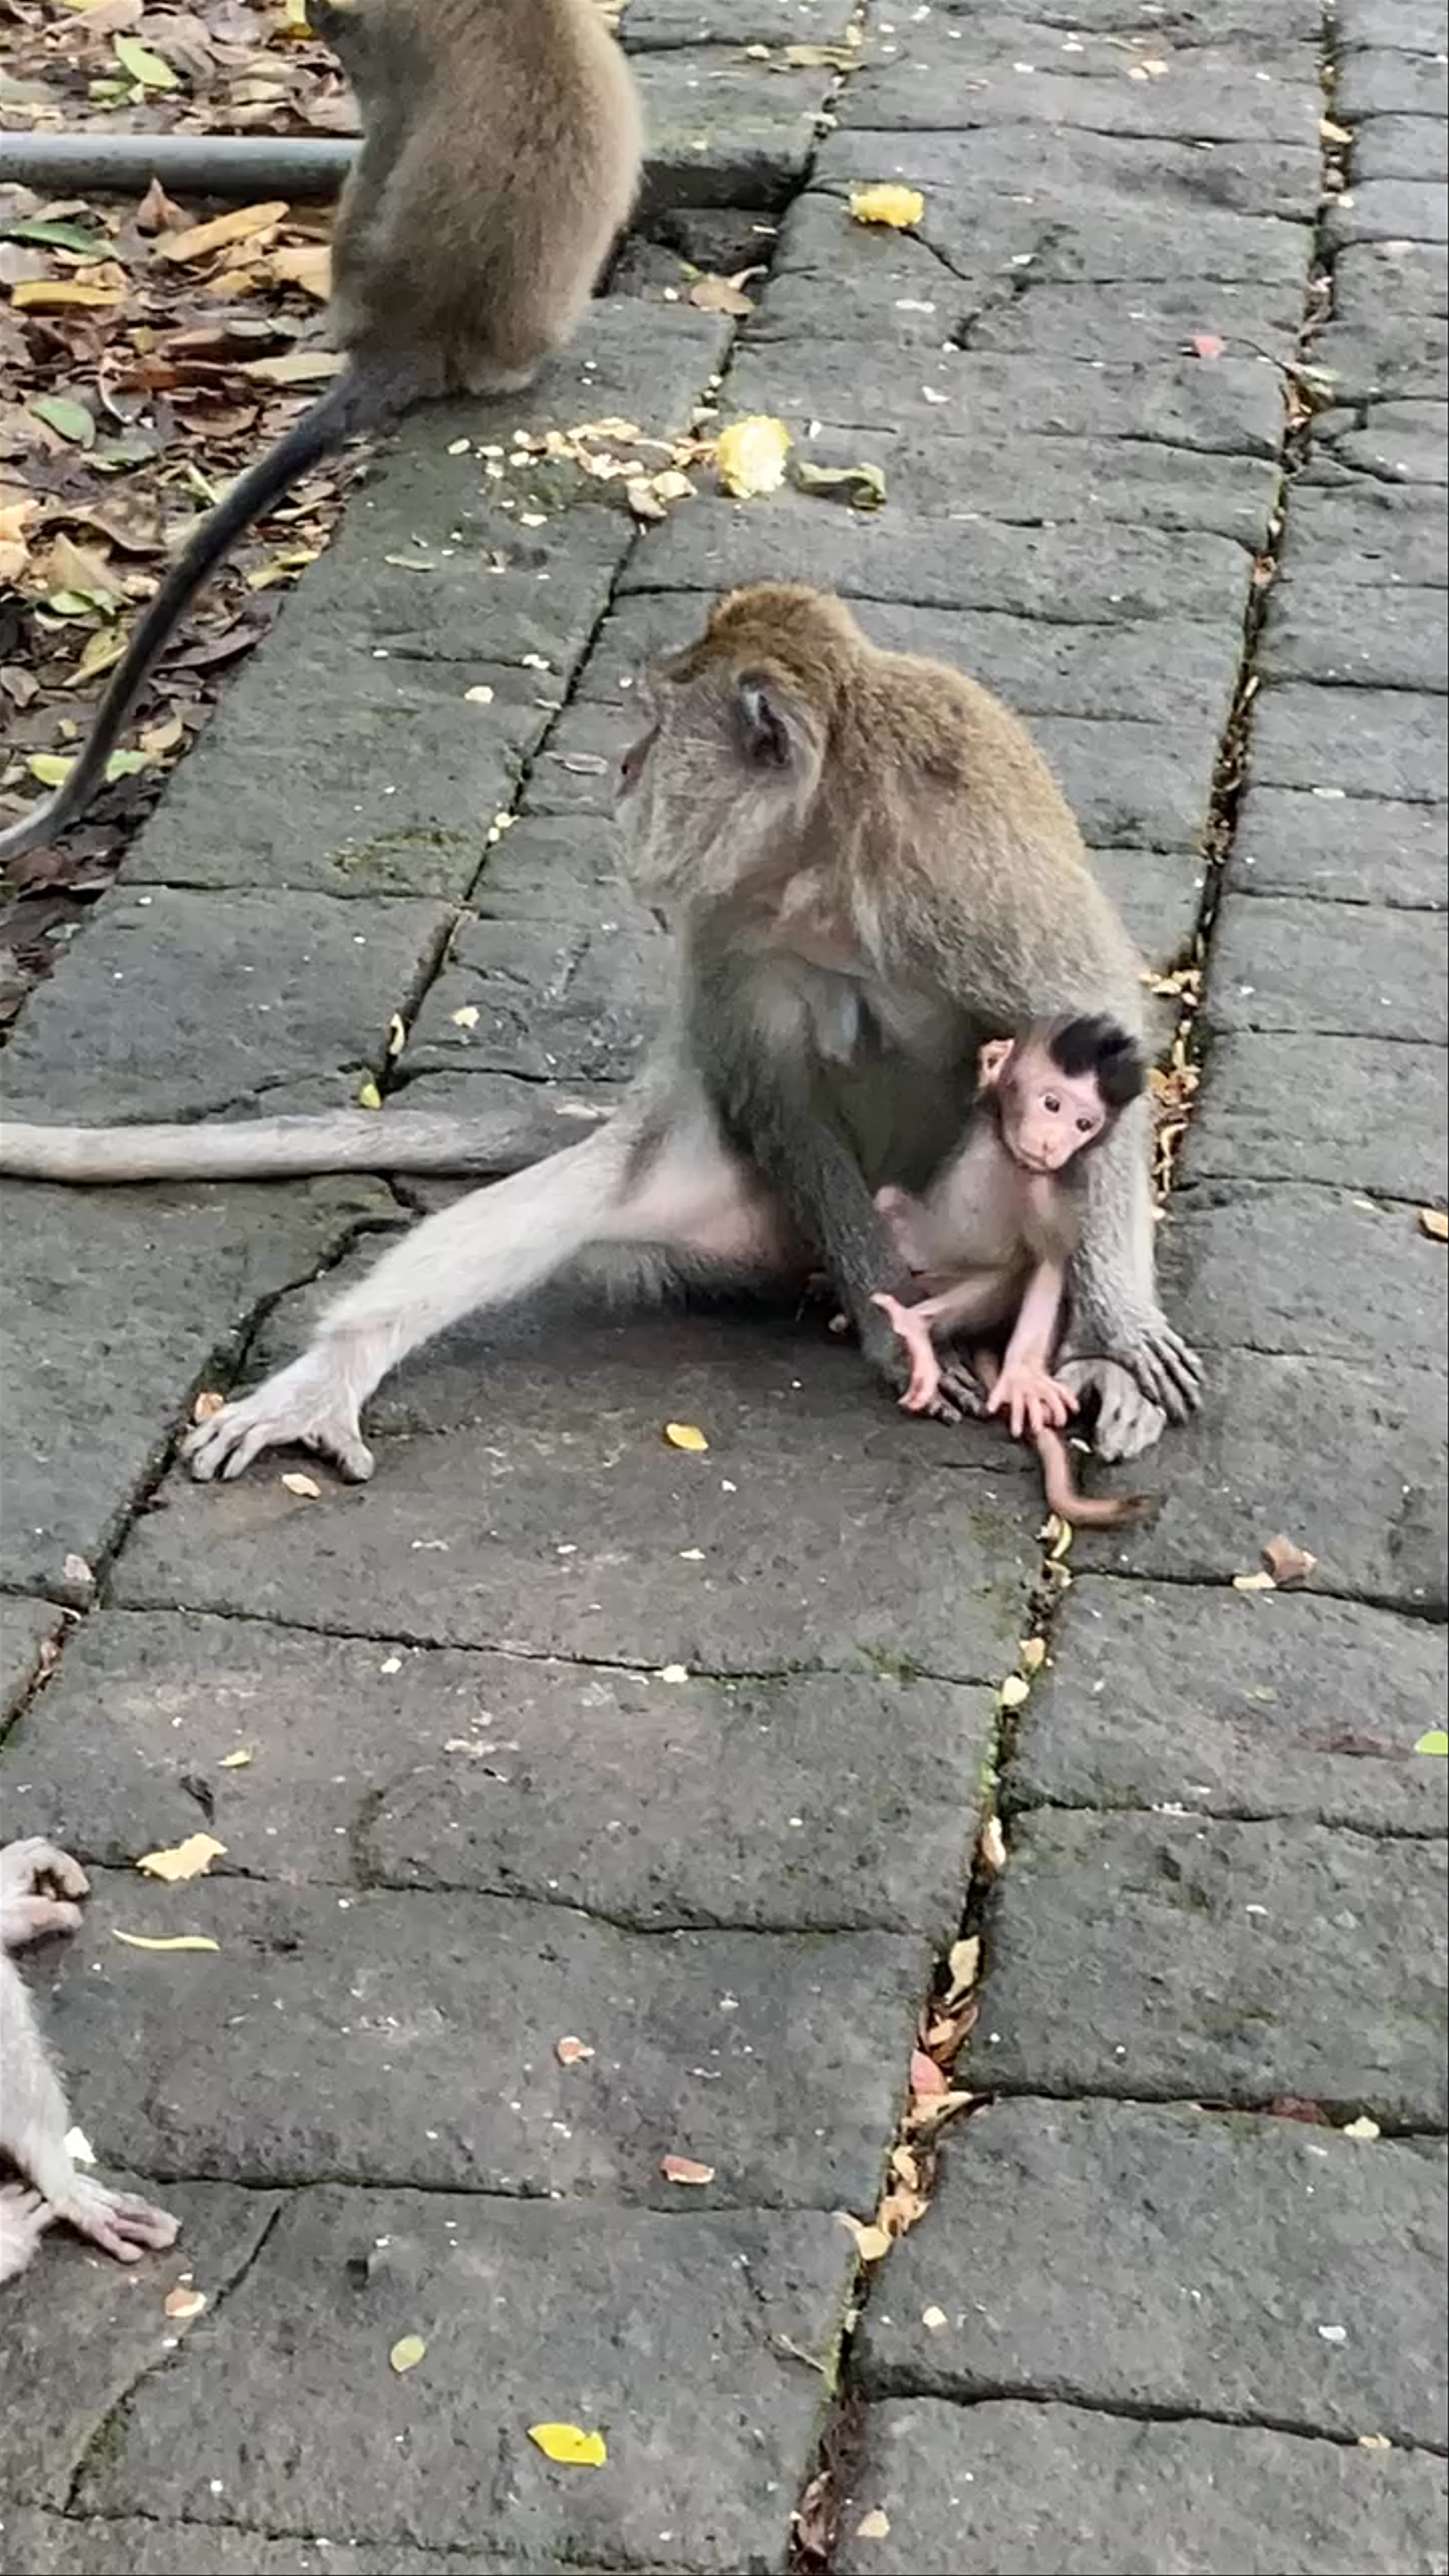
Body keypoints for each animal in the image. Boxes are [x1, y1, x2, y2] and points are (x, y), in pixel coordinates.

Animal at [0, 584, 1202, 1478]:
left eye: (658, 725)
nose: (623, 769)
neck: (824, 844)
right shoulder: (724, 927)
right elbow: (776, 1095)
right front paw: (884, 1324)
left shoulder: (972, 853)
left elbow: (1092, 1031)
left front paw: (1117, 1334)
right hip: (749, 1209)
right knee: (589, 1193)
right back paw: (332, 1378)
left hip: (967, 1220)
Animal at [867, 1015, 1156, 1529]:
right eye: (1052, 1103)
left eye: (1084, 1124)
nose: (1054, 1141)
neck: (1008, 1148)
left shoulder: (1050, 1183)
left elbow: (1048, 1258)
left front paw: (1022, 1374)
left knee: (1011, 1269)